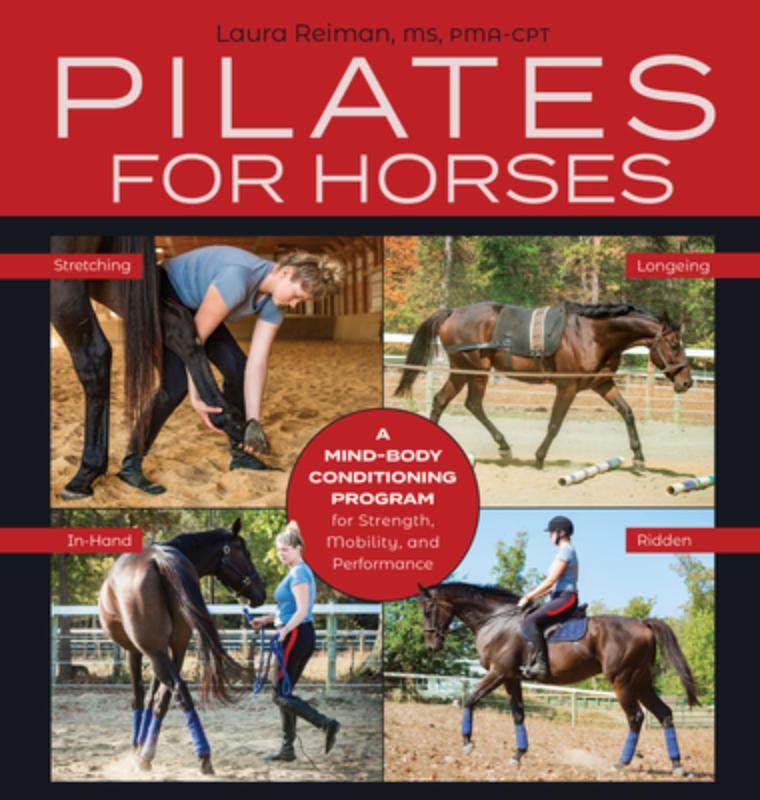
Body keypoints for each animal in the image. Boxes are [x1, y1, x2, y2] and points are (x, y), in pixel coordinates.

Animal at [98, 518, 266, 774]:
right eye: (244, 553)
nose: (261, 592)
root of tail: (159, 559)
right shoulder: (163, 651)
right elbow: (152, 698)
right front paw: (141, 745)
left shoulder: (136, 652)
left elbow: (139, 696)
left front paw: (136, 746)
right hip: (174, 650)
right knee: (170, 695)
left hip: (156, 653)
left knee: (178, 690)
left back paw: (190, 755)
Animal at [395, 302, 693, 469]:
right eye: (674, 344)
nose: (687, 382)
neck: (592, 335)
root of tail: (452, 312)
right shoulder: (567, 388)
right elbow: (554, 424)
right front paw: (539, 458)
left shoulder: (602, 384)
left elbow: (627, 413)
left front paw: (639, 456)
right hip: (472, 371)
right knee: (467, 403)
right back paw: (503, 447)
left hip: (465, 372)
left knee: (449, 402)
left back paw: (502, 446)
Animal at [418, 582, 699, 775]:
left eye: (428, 610)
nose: (431, 644)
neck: (496, 622)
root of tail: (642, 623)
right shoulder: (511, 678)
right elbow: (518, 714)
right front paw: (518, 755)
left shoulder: (498, 672)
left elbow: (470, 700)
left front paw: (467, 744)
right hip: (641, 682)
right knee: (664, 714)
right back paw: (676, 765)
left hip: (623, 682)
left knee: (636, 718)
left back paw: (620, 763)